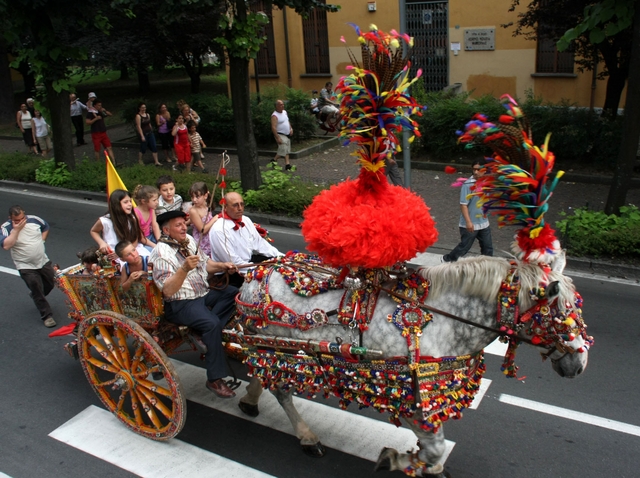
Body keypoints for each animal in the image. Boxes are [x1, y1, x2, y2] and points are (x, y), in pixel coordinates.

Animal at [226, 27, 596, 478]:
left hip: (270, 347)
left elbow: (434, 454)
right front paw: (396, 457)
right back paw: (307, 436)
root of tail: (256, 273)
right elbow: (433, 449)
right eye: (559, 307)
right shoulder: (416, 397)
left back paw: (250, 400)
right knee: (280, 389)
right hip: (274, 347)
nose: (579, 364)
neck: (443, 317)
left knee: (262, 377)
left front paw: (417, 464)